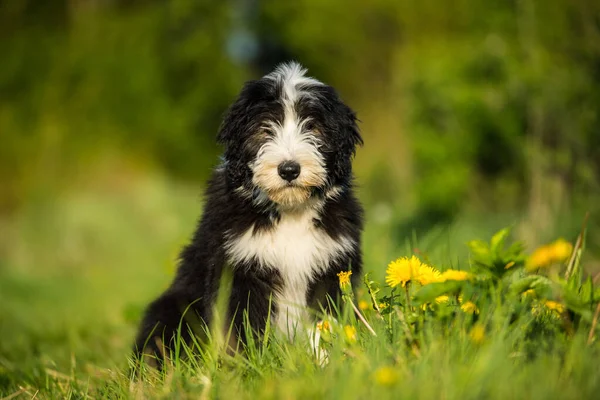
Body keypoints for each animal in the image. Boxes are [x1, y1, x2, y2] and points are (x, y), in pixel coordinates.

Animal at [134, 62, 364, 366]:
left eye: (313, 127)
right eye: (264, 129)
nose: (289, 169)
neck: (289, 211)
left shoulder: (331, 266)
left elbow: (324, 322)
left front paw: (328, 363)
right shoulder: (238, 267)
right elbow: (239, 327)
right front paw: (245, 366)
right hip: (171, 308)